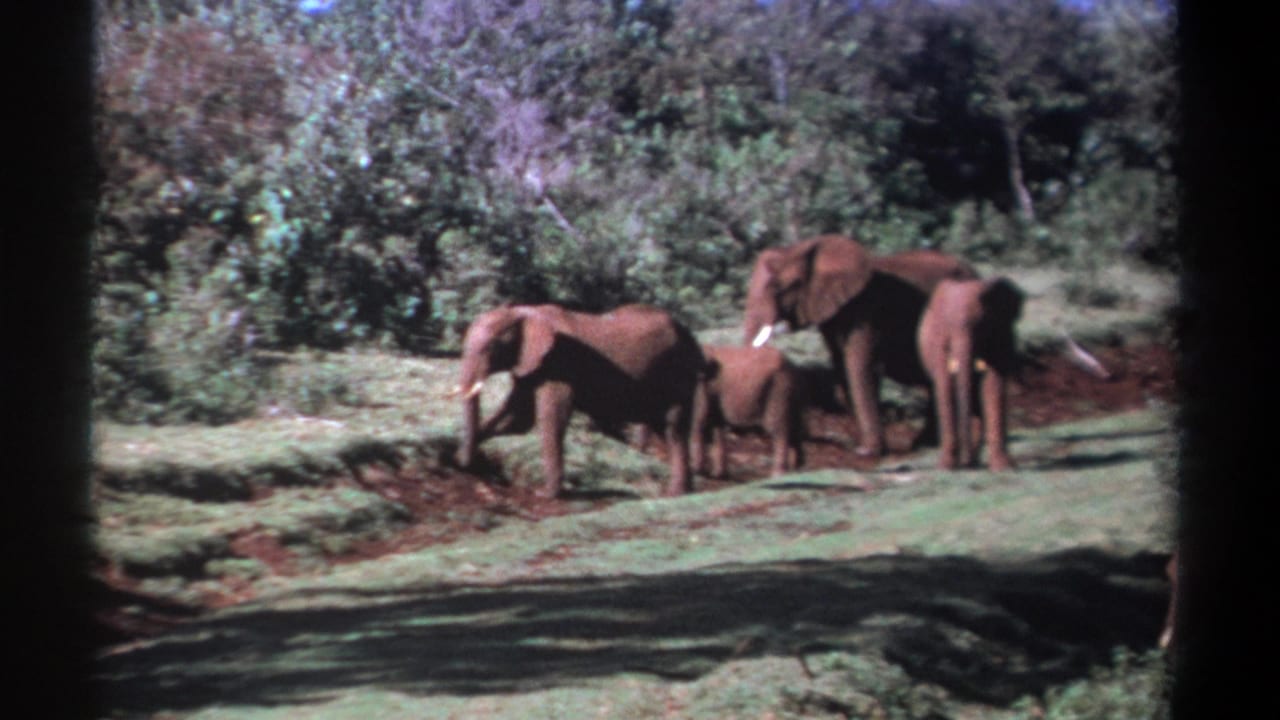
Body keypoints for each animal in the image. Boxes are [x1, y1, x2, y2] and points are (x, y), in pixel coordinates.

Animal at [454, 303, 707, 498]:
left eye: (492, 347)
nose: (465, 466)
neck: (523, 312)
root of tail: (690, 336)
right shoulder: (530, 366)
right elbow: (517, 419)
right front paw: (465, 457)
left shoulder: (558, 364)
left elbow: (551, 417)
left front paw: (545, 494)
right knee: (665, 429)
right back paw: (685, 491)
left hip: (677, 372)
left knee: (673, 428)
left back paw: (675, 494)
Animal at [691, 345, 806, 478]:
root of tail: (792, 365)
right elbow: (717, 425)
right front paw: (718, 474)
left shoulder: (700, 387)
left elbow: (699, 422)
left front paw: (697, 472)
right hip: (790, 394)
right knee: (794, 427)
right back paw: (795, 470)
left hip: (778, 390)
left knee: (778, 429)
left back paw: (777, 475)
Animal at [743, 235, 979, 458]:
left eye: (781, 287)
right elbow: (842, 366)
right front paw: (864, 447)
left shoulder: (866, 310)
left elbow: (861, 366)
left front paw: (867, 452)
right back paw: (926, 445)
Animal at [916, 277, 1024, 471]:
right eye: (947, 326)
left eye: (980, 325)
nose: (967, 464)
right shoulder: (938, 344)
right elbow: (945, 386)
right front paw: (946, 467)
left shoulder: (1001, 335)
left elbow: (994, 385)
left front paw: (1004, 467)